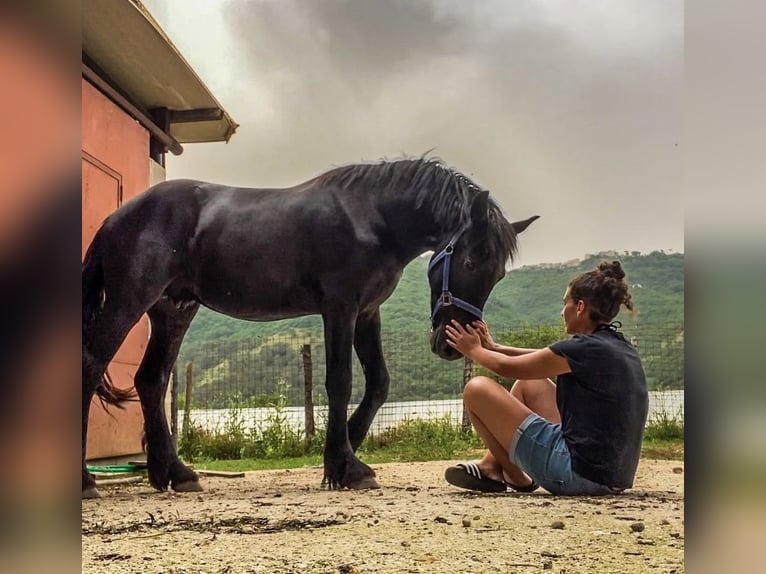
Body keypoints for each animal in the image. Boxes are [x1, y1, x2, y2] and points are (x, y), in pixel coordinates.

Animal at [82, 157, 538, 498]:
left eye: (497, 274)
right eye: (470, 261)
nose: (451, 345)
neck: (373, 218)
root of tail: (115, 218)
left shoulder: (367, 313)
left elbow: (379, 383)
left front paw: (345, 450)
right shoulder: (339, 308)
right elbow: (339, 381)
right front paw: (345, 465)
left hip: (173, 311)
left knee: (151, 380)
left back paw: (174, 474)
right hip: (129, 300)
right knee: (91, 366)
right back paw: (88, 482)